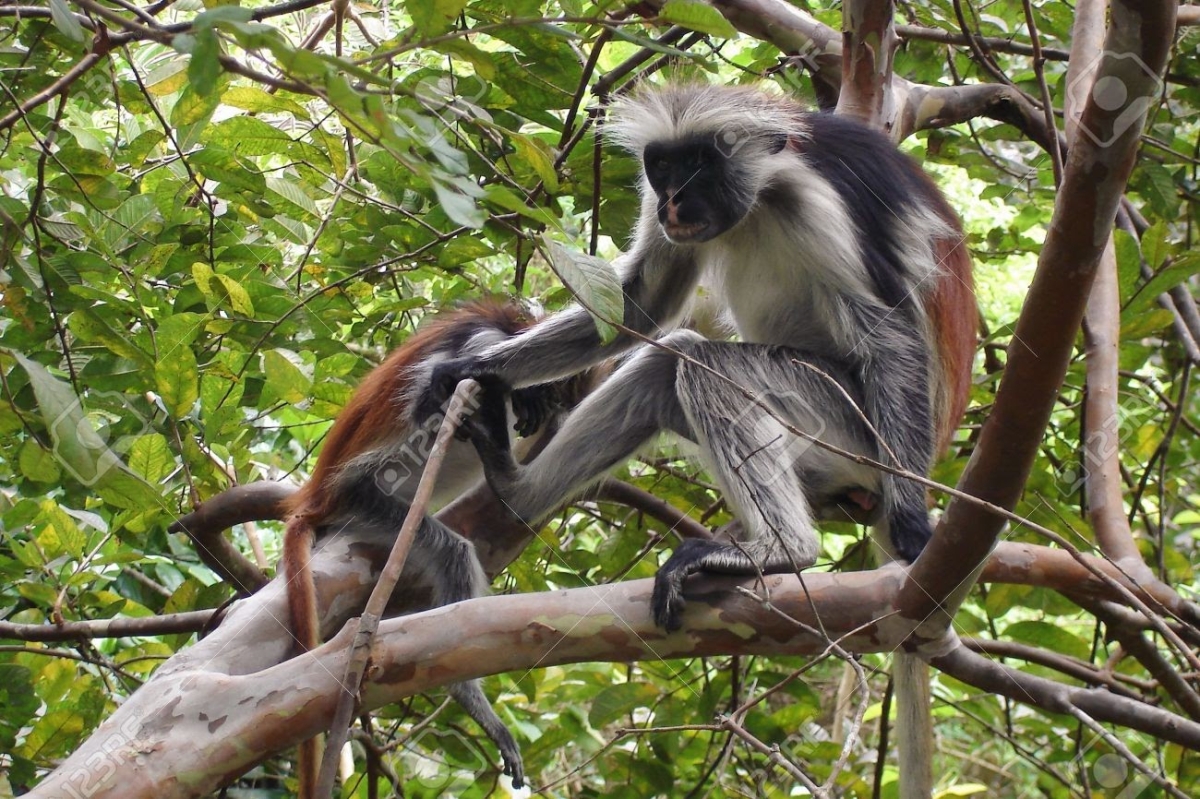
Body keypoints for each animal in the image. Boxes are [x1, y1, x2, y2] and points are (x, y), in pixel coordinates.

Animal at [278, 299, 591, 796]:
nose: (558, 400)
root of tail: (317, 497)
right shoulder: (482, 340)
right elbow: (436, 391)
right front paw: (522, 398)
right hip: (363, 494)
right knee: (452, 550)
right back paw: (465, 692)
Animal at [419, 84, 976, 798]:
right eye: (662, 169)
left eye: (699, 168)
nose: (673, 204)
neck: (763, 195)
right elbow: (637, 305)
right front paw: (469, 370)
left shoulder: (818, 203)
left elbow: (889, 341)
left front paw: (912, 525)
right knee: (667, 360)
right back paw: (516, 488)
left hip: (848, 423)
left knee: (705, 364)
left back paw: (785, 548)